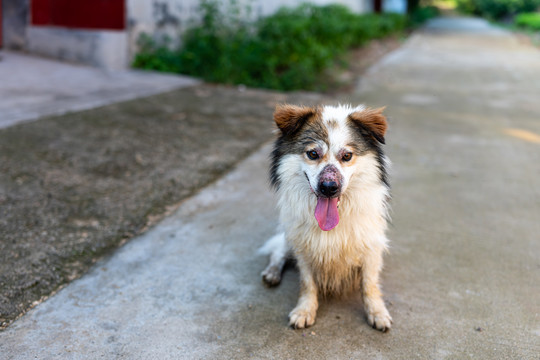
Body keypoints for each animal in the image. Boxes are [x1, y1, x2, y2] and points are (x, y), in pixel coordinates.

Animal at [260, 104, 390, 332]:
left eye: (347, 155)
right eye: (313, 153)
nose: (329, 187)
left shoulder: (371, 244)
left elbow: (369, 284)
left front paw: (377, 312)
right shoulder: (303, 246)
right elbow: (307, 283)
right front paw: (304, 311)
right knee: (278, 252)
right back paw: (272, 273)